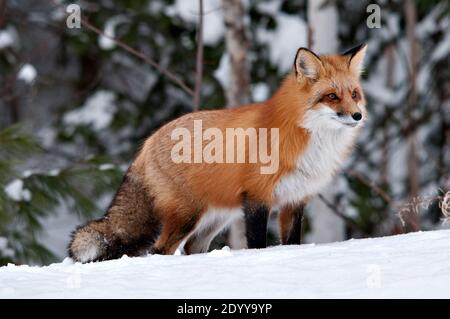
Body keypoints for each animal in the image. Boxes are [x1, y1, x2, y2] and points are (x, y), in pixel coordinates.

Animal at [68, 43, 368, 262]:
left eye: (354, 94)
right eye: (332, 96)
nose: (358, 115)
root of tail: (148, 142)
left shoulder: (295, 200)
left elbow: (292, 241)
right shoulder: (257, 197)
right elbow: (257, 245)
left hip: (215, 217)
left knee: (191, 247)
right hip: (187, 215)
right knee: (160, 250)